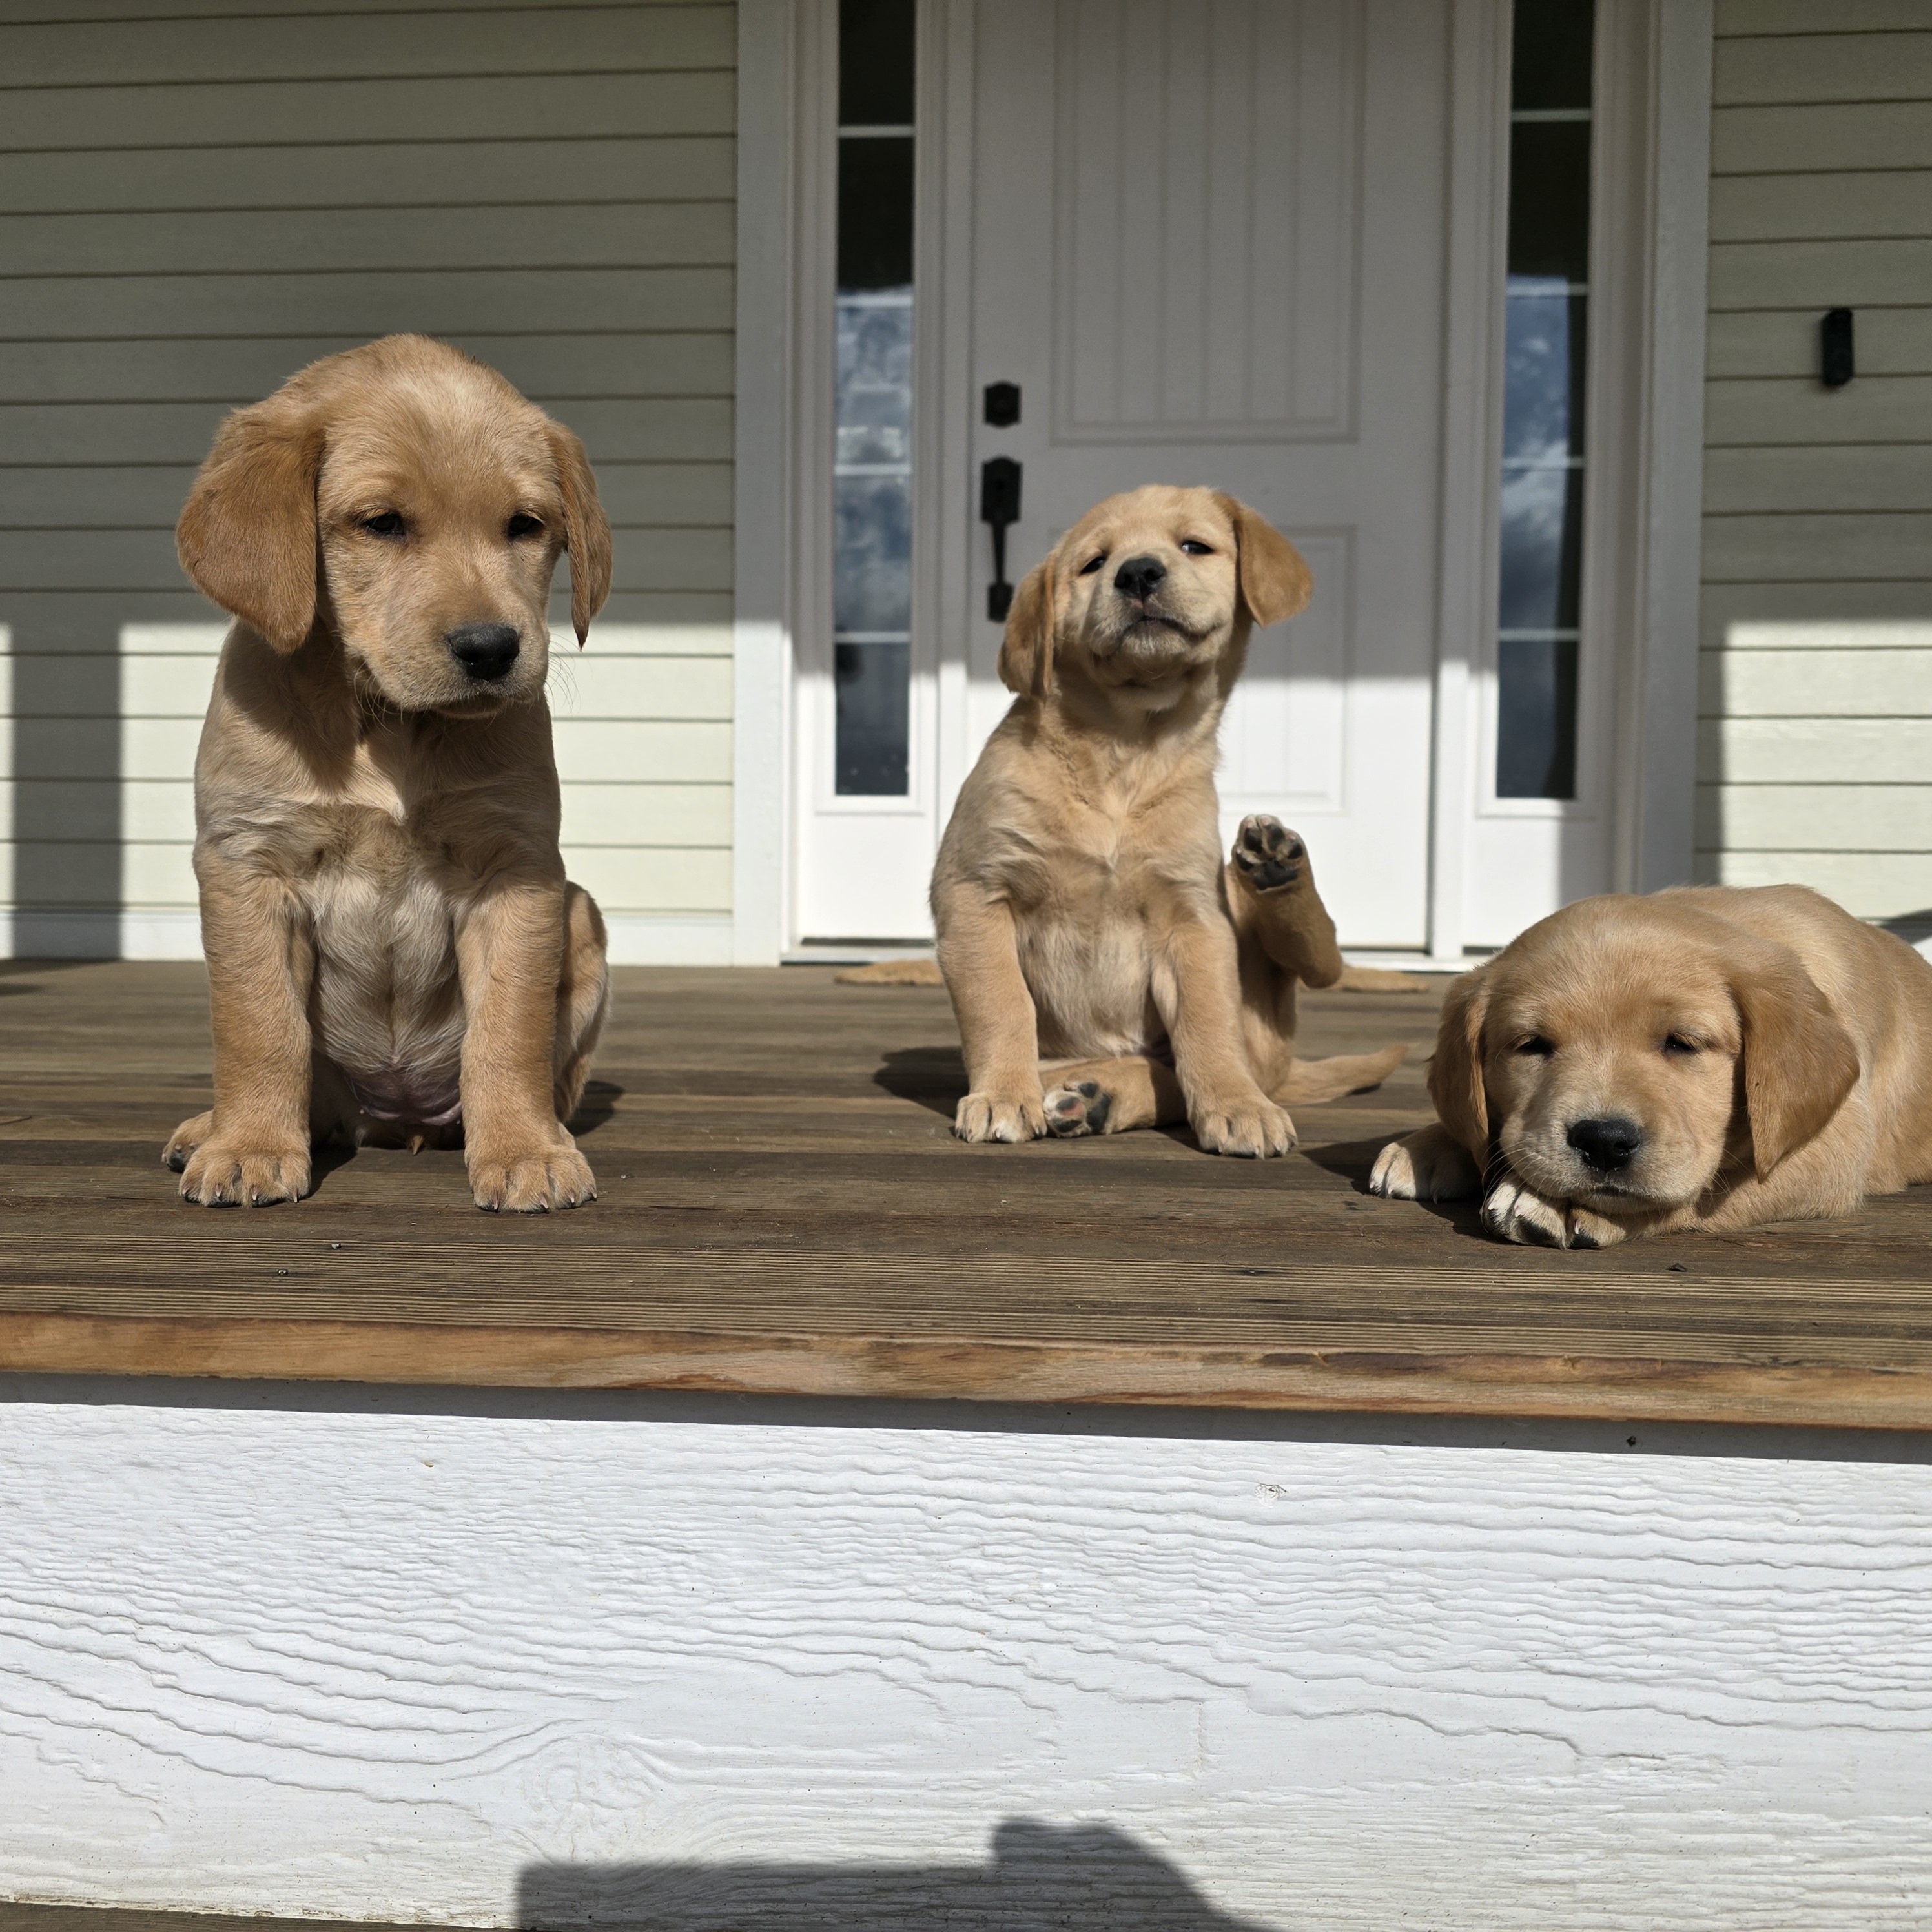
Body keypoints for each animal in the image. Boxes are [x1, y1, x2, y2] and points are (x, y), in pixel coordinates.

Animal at [174, 332, 614, 1206]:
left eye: (525, 526)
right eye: (382, 524)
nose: (491, 648)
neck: (387, 722)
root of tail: (398, 1118)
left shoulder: (518, 870)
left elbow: (508, 1030)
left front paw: (525, 1151)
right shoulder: (247, 863)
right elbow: (259, 1025)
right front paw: (248, 1145)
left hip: (582, 913)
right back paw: (213, 1127)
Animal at [931, 490, 1406, 1151]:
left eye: (1194, 546)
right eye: (1093, 563)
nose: (1137, 573)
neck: (1127, 748)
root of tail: (1283, 1073)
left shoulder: (1193, 917)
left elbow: (1208, 1023)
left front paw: (1236, 1105)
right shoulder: (975, 890)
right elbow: (1000, 1002)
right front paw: (1003, 1095)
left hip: (1255, 930)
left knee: (1316, 959)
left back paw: (1276, 864)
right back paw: (1089, 1094)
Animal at [1368, 885, 1932, 1244]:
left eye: (1683, 1043)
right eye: (1532, 1045)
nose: (1603, 1142)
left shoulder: (1832, 1151)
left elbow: (1703, 1186)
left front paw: (1558, 1202)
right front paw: (1427, 1146)